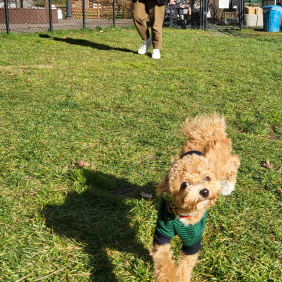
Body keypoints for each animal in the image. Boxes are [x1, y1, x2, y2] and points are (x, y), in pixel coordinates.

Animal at [150, 113, 240, 282]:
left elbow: (185, 267)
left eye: (207, 178)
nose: (204, 191)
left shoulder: (192, 241)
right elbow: (163, 261)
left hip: (222, 167)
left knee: (235, 161)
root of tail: (211, 131)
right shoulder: (162, 235)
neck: (183, 213)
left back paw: (228, 186)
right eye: (184, 184)